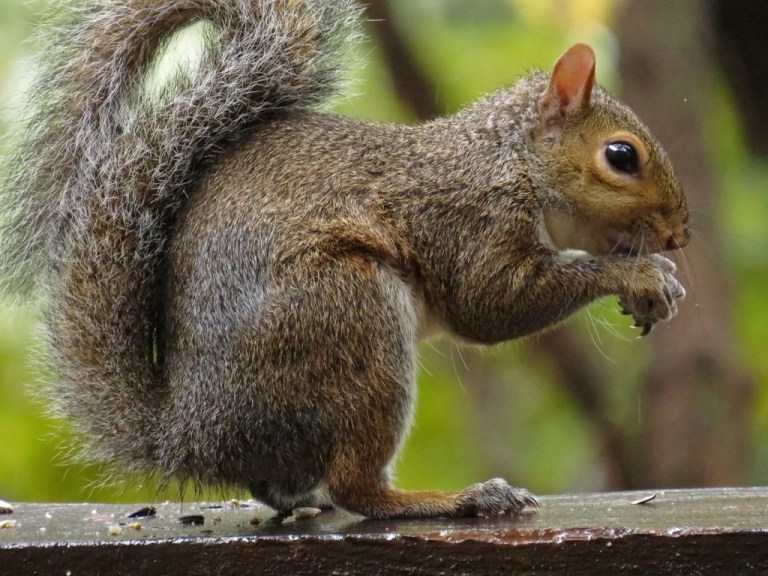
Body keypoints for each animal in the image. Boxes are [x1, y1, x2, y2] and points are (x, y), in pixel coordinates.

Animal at [0, 0, 689, 519]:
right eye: (621, 156)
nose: (680, 236)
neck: (509, 160)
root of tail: (193, 435)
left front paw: (658, 283)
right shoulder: (466, 220)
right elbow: (490, 305)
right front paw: (638, 274)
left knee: (283, 485)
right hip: (349, 315)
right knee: (358, 489)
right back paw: (456, 499)